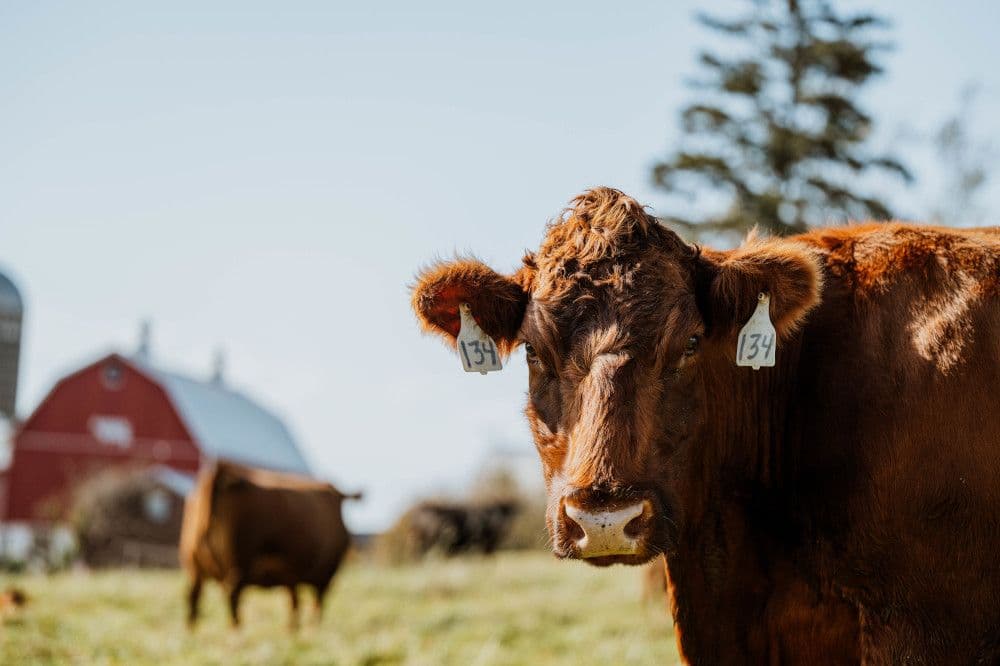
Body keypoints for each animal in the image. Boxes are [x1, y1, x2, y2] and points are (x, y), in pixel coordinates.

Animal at [179, 461, 361, 629]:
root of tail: (221, 472)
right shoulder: (324, 575)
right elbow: (311, 605)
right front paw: (309, 628)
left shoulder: (293, 575)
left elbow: (296, 602)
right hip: (238, 563)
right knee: (232, 597)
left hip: (194, 564)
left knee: (193, 598)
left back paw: (193, 632)